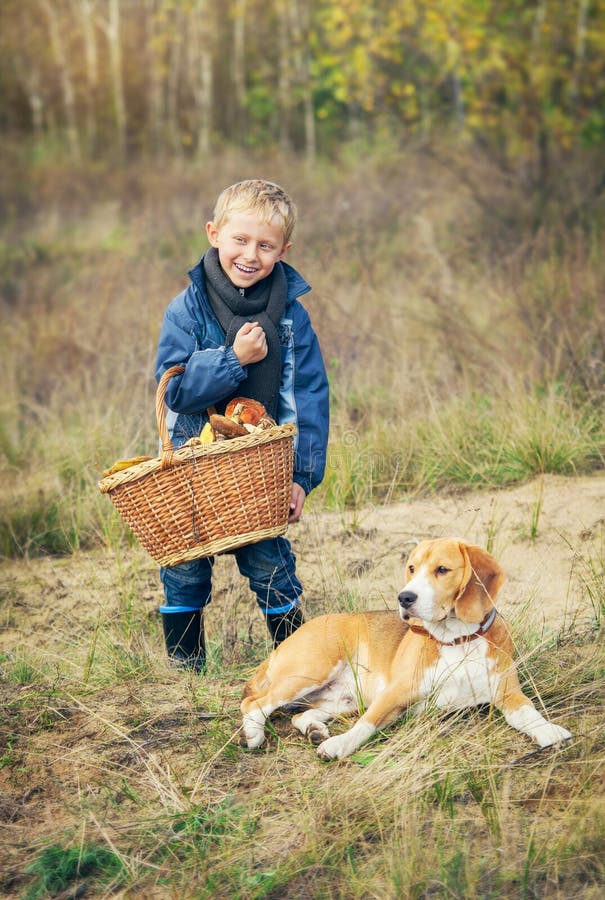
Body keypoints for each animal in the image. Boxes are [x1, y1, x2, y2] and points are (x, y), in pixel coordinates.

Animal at [242, 540, 572, 760]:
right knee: (253, 703)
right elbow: (365, 725)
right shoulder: (395, 693)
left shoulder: (509, 694)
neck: (456, 641)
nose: (404, 597)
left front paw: (548, 731)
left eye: (442, 570)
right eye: (411, 568)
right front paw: (340, 744)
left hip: (342, 699)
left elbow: (529, 713)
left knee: (299, 715)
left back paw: (313, 728)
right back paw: (254, 734)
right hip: (311, 671)